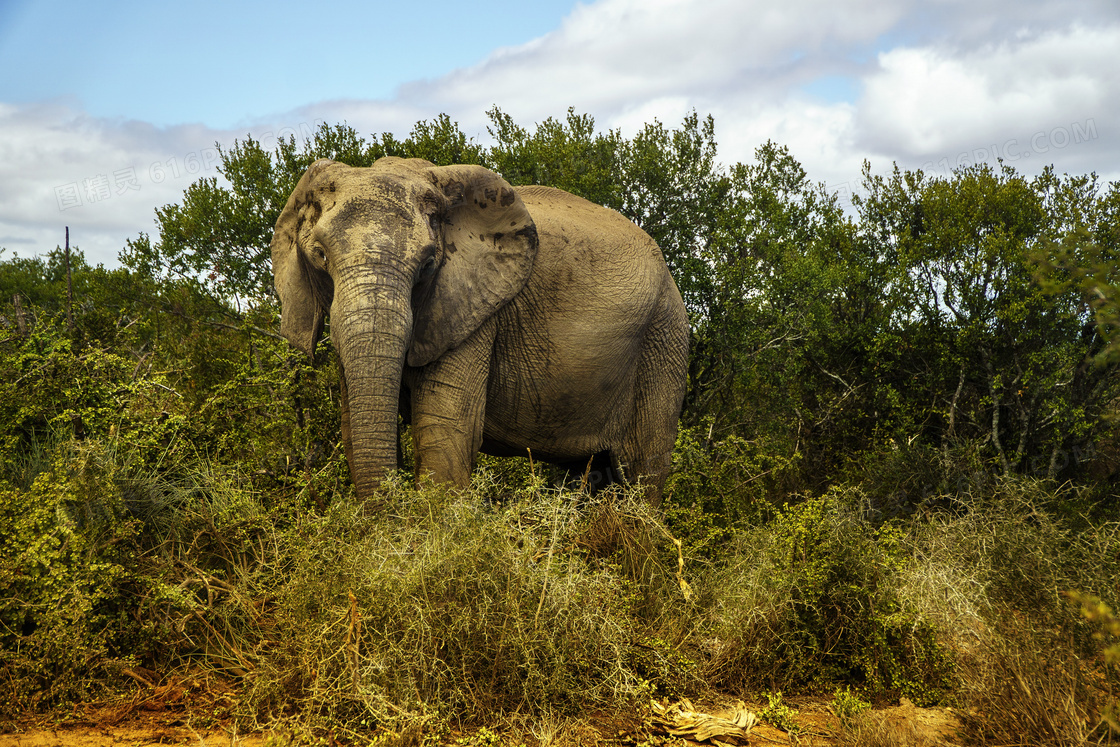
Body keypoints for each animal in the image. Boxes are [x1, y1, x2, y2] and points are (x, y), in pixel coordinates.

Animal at [271, 160, 689, 506]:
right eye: (321, 256)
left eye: (427, 264)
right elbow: (351, 431)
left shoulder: (474, 309)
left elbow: (446, 431)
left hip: (663, 338)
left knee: (642, 474)